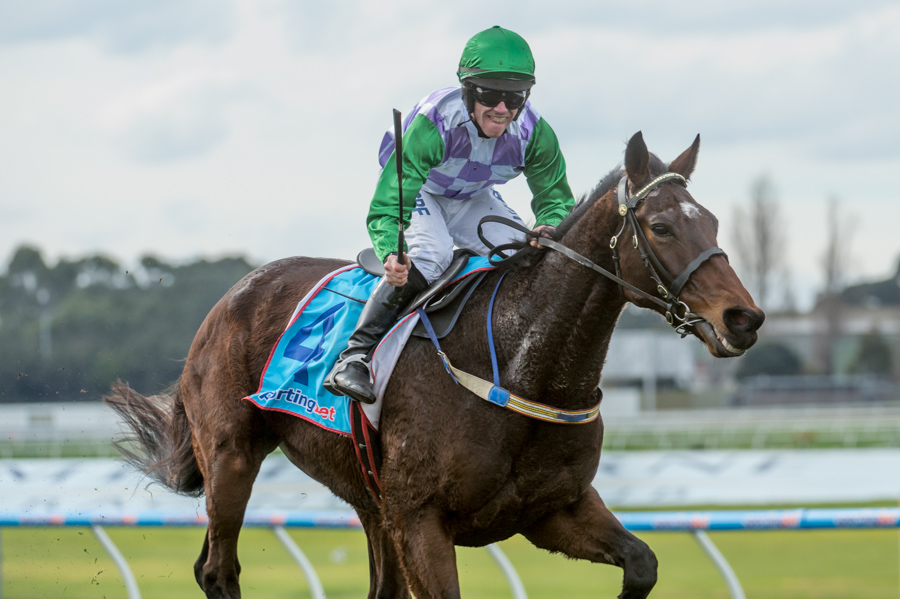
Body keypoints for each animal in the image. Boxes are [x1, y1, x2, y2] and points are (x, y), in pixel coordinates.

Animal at [107, 134, 768, 599]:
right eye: (660, 225)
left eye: (712, 221)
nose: (744, 317)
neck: (517, 363)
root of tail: (233, 295)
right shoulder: (422, 521)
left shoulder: (552, 510)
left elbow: (643, 565)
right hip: (232, 456)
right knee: (217, 570)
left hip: (371, 500)